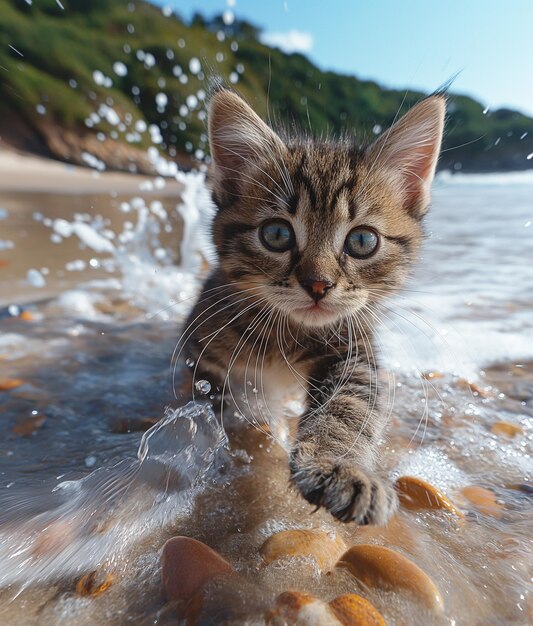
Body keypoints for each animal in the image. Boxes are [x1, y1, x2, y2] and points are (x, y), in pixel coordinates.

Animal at [182, 88, 444, 524]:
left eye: (362, 241)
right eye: (275, 235)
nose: (318, 284)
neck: (286, 334)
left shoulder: (355, 350)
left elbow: (349, 408)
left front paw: (341, 465)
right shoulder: (201, 349)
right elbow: (217, 406)